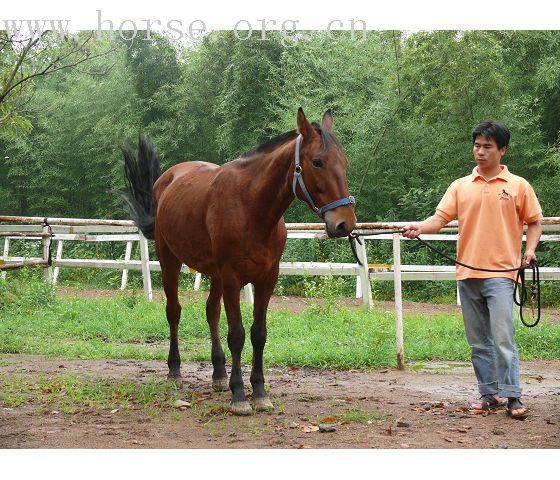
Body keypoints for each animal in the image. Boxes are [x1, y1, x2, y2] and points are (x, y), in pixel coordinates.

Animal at [122, 108, 356, 412]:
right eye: (317, 162)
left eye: (344, 161)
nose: (344, 223)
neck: (251, 208)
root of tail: (167, 179)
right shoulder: (232, 278)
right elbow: (237, 334)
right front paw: (239, 395)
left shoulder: (267, 279)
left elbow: (258, 334)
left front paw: (259, 391)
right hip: (170, 262)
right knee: (174, 312)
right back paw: (175, 370)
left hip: (214, 275)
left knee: (211, 312)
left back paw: (219, 373)